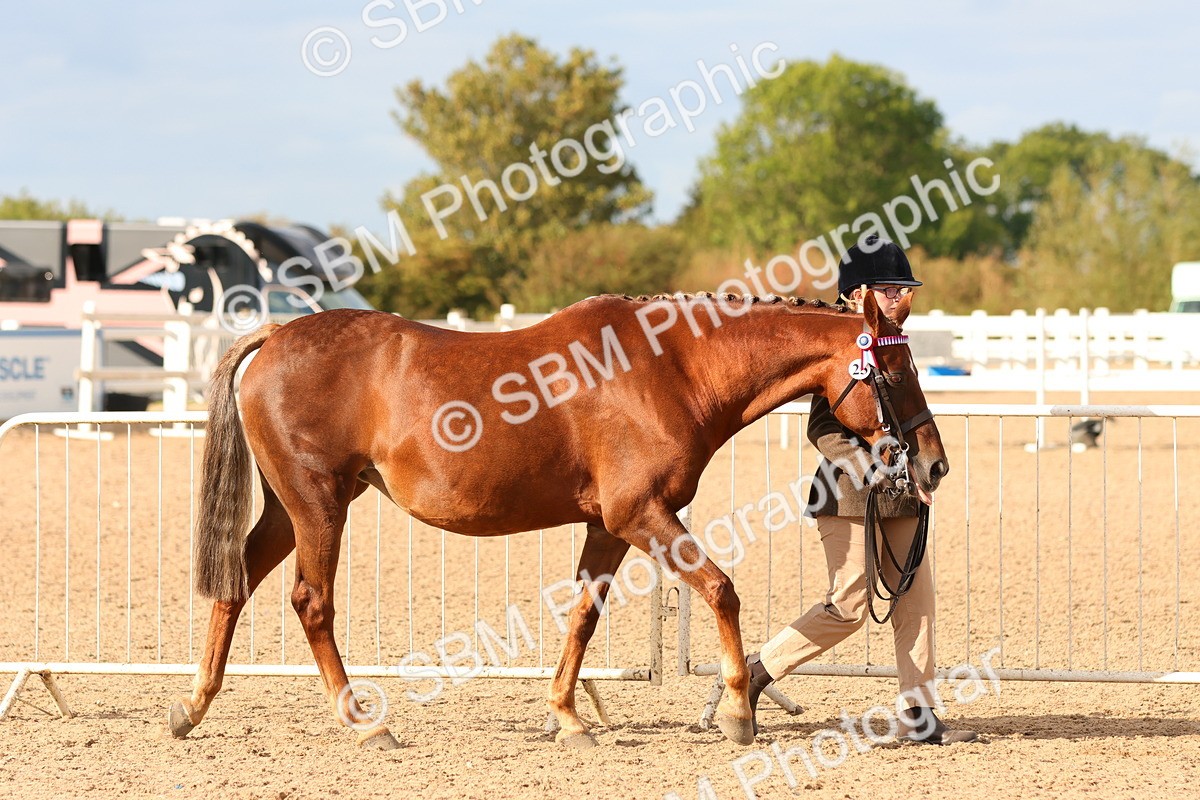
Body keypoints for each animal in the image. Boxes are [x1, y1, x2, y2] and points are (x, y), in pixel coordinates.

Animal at [167, 289, 946, 750]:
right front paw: (735, 712)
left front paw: (569, 717)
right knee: (312, 602)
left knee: (236, 585)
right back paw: (362, 724)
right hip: (319, 504)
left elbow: (583, 616)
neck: (670, 368)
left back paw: (194, 706)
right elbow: (721, 589)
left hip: (291, 509)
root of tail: (275, 337)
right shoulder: (642, 514)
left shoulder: (609, 526)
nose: (933, 465)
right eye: (895, 373)